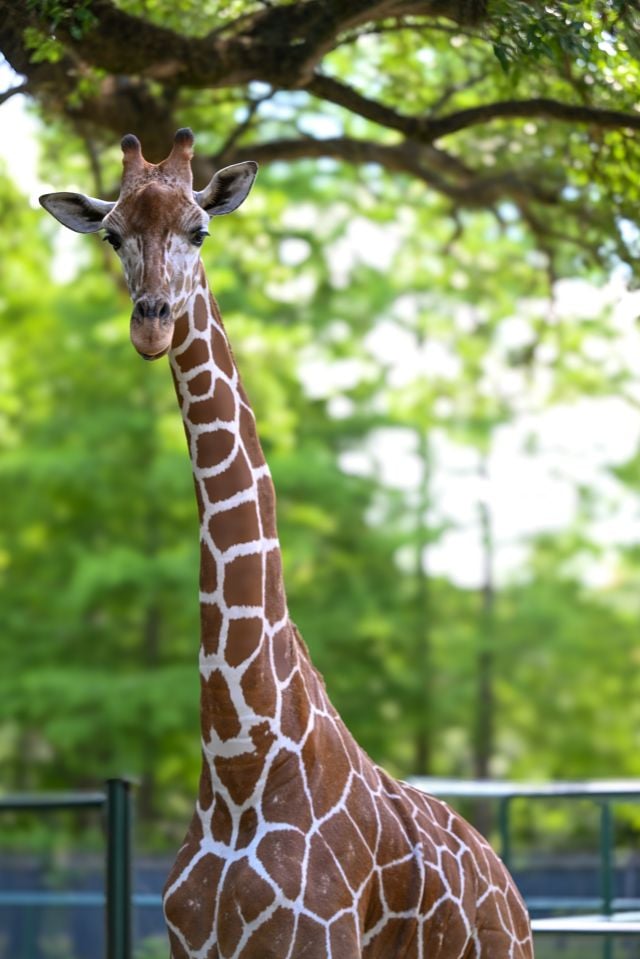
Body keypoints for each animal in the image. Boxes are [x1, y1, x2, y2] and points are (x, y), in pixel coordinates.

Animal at [40, 129, 534, 959]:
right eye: (112, 234)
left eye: (200, 229)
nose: (151, 324)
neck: (242, 758)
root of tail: (509, 885)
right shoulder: (191, 944)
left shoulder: (317, 939)